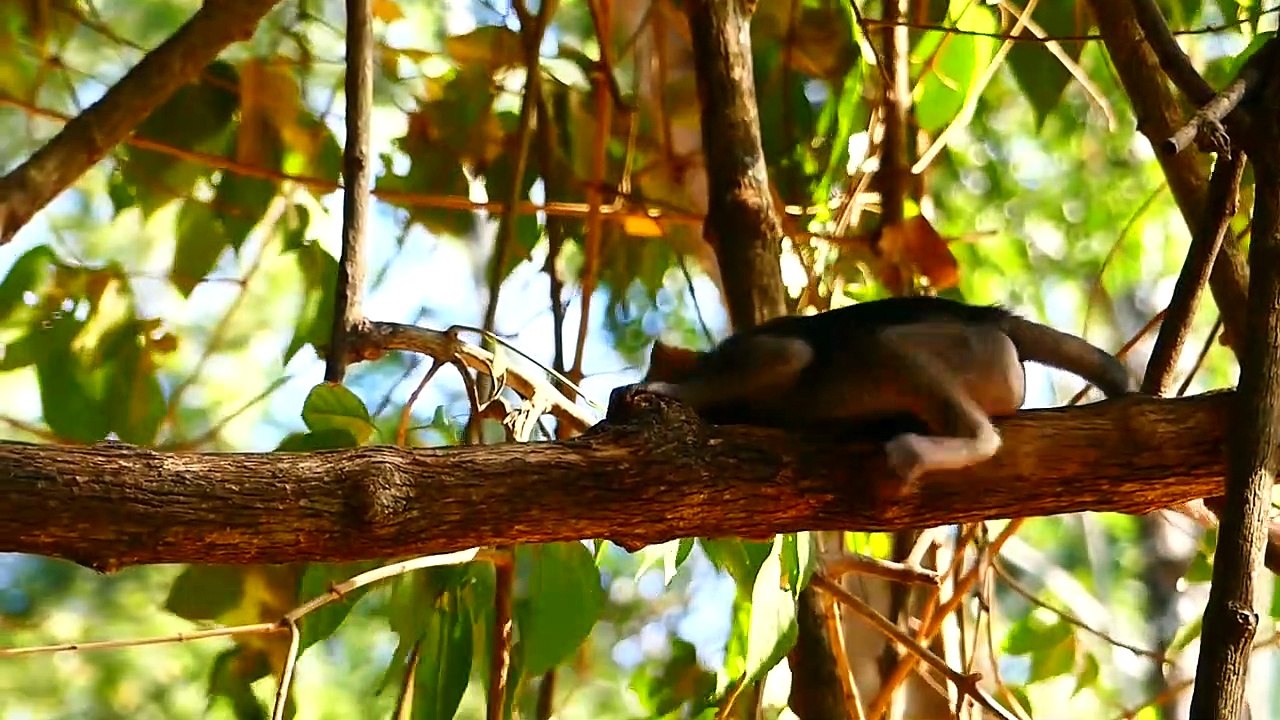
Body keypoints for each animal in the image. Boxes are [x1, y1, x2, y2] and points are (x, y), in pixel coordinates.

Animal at [631, 296, 1135, 484]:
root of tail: (989, 316)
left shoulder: (745, 351)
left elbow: (788, 355)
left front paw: (669, 390)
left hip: (977, 349)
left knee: (885, 346)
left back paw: (947, 444)